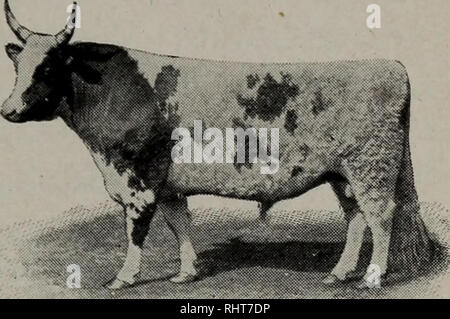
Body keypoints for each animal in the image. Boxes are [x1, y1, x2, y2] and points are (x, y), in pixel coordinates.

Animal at [1, 0, 434, 290]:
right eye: (17, 65)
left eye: (47, 67)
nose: (8, 110)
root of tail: (390, 64)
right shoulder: (168, 182)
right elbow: (179, 223)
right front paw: (185, 272)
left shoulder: (139, 177)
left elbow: (136, 230)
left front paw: (123, 278)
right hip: (342, 173)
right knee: (356, 218)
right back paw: (339, 273)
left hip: (370, 167)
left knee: (381, 216)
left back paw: (371, 278)